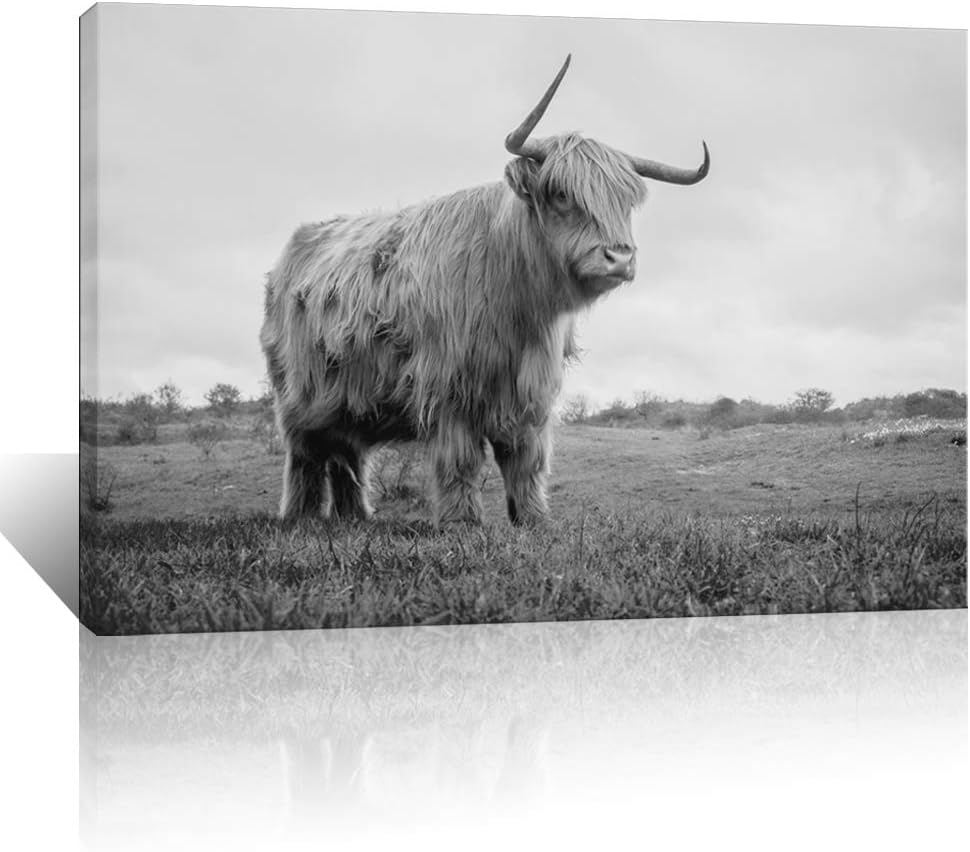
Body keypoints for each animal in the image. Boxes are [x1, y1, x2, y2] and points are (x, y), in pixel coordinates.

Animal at [260, 55, 709, 527]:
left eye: (625, 202)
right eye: (562, 194)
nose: (619, 258)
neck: (520, 309)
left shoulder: (531, 393)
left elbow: (526, 460)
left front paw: (533, 519)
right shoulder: (449, 388)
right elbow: (461, 460)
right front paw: (463, 522)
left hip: (347, 399)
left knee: (347, 453)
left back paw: (356, 517)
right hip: (296, 395)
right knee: (306, 455)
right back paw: (300, 517)